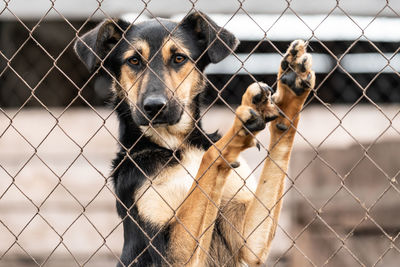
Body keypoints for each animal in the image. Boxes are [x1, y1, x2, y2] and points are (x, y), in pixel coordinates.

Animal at [74, 11, 316, 266]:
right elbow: (211, 157)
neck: (175, 146)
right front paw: (237, 131)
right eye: (134, 61)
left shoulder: (249, 240)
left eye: (179, 58)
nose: (154, 107)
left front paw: (291, 92)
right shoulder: (171, 253)